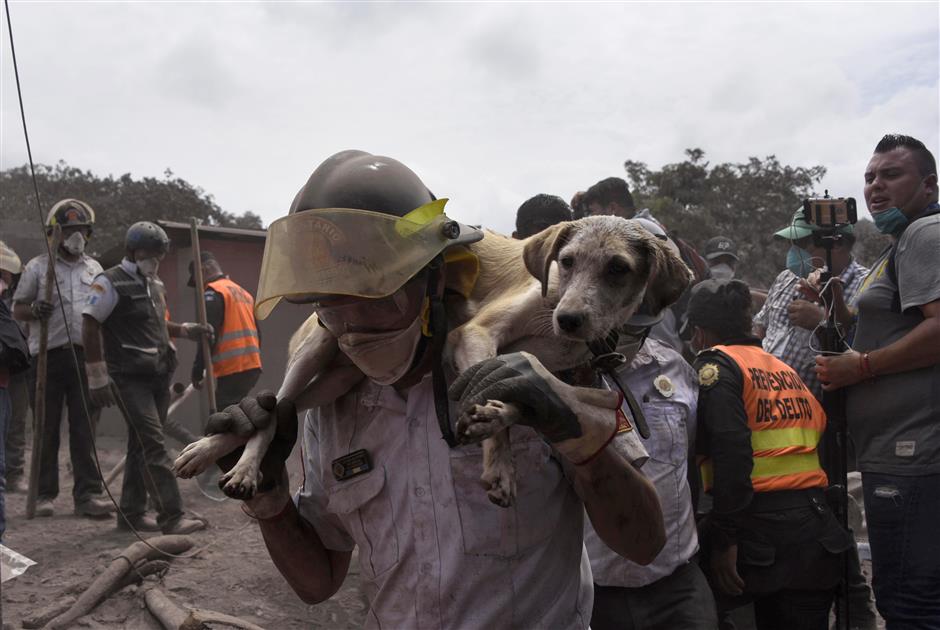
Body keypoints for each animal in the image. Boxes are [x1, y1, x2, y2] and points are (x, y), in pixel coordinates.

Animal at [174, 217, 692, 508]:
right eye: (565, 261)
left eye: (618, 268)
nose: (569, 319)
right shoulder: (475, 334)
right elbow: (493, 399)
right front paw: (500, 464)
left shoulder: (552, 374)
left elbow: (518, 399)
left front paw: (493, 419)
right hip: (315, 350)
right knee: (266, 414)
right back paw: (236, 464)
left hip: (334, 380)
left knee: (281, 409)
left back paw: (210, 451)